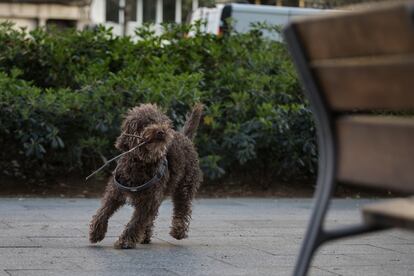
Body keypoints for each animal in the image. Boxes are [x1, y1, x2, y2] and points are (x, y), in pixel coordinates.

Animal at [90, 102, 203, 249]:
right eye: (146, 123)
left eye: (163, 122)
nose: (161, 131)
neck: (141, 162)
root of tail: (185, 137)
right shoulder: (115, 192)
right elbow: (104, 211)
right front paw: (96, 232)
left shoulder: (148, 201)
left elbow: (136, 222)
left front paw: (125, 241)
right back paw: (145, 236)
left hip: (184, 186)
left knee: (182, 208)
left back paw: (178, 231)